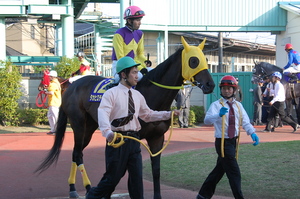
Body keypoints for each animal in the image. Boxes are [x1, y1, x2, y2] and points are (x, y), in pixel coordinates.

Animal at [35, 36, 216, 199]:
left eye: (205, 59)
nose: (210, 85)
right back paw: (84, 188)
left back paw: (75, 188)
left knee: (75, 153)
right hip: (79, 124)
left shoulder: (157, 138)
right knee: (78, 154)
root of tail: (72, 87)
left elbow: (156, 171)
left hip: (89, 127)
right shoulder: (132, 138)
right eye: (194, 61)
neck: (151, 95)